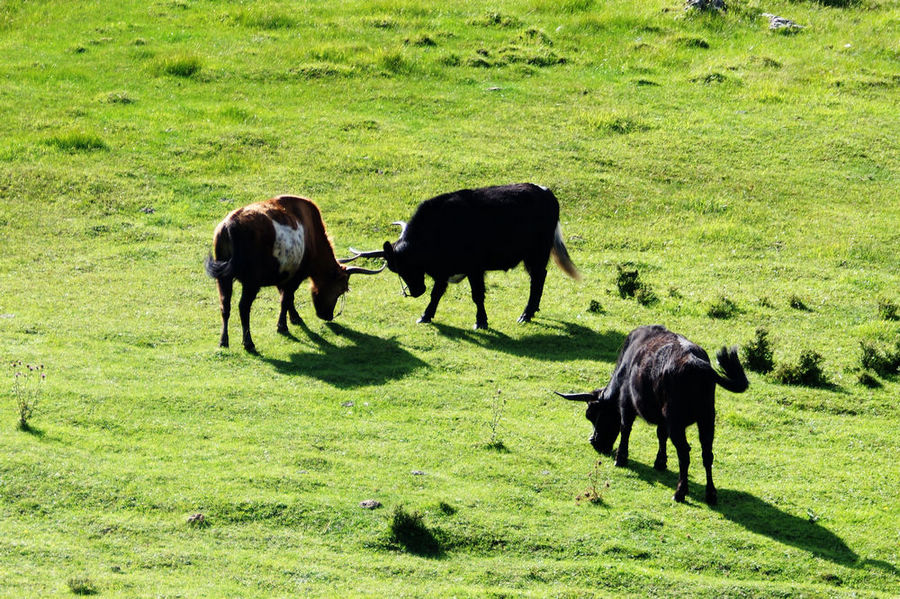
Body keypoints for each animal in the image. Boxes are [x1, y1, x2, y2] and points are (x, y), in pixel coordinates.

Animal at [204, 195, 384, 354]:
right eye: (341, 289)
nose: (328, 316)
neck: (312, 235)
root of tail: (230, 227)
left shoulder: (283, 274)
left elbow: (285, 297)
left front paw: (294, 318)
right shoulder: (296, 275)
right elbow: (286, 298)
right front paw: (283, 326)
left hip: (223, 276)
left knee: (225, 305)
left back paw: (223, 341)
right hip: (251, 281)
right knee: (243, 307)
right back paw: (248, 343)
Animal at [344, 184, 584, 330]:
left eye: (406, 265)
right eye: (397, 269)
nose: (416, 291)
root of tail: (547, 194)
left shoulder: (474, 268)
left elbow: (477, 295)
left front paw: (481, 322)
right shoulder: (444, 271)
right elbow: (436, 294)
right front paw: (425, 316)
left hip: (537, 254)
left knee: (538, 279)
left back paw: (526, 314)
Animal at [560, 326, 748, 504]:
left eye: (592, 414)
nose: (594, 441)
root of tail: (698, 364)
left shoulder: (627, 404)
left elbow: (625, 428)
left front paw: (620, 458)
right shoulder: (663, 420)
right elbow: (661, 435)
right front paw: (660, 462)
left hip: (677, 422)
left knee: (684, 453)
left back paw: (680, 493)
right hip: (707, 418)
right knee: (707, 454)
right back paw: (710, 495)